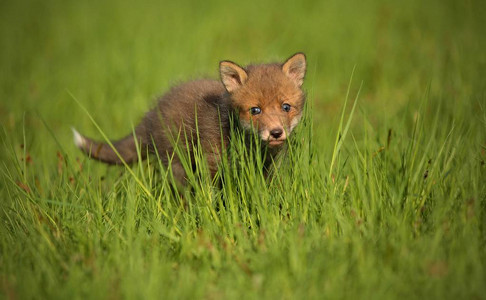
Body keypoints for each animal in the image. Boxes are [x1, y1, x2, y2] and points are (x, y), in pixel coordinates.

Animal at [72, 52, 306, 182]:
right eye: (255, 110)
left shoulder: (265, 168)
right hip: (177, 163)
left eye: (286, 107)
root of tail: (151, 113)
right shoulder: (210, 162)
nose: (276, 132)